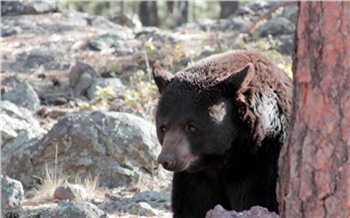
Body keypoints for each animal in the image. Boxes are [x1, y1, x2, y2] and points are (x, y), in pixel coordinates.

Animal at [153, 50, 292, 217]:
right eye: (163, 127)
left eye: (191, 126)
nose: (166, 159)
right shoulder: (196, 180)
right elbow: (193, 207)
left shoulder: (264, 168)